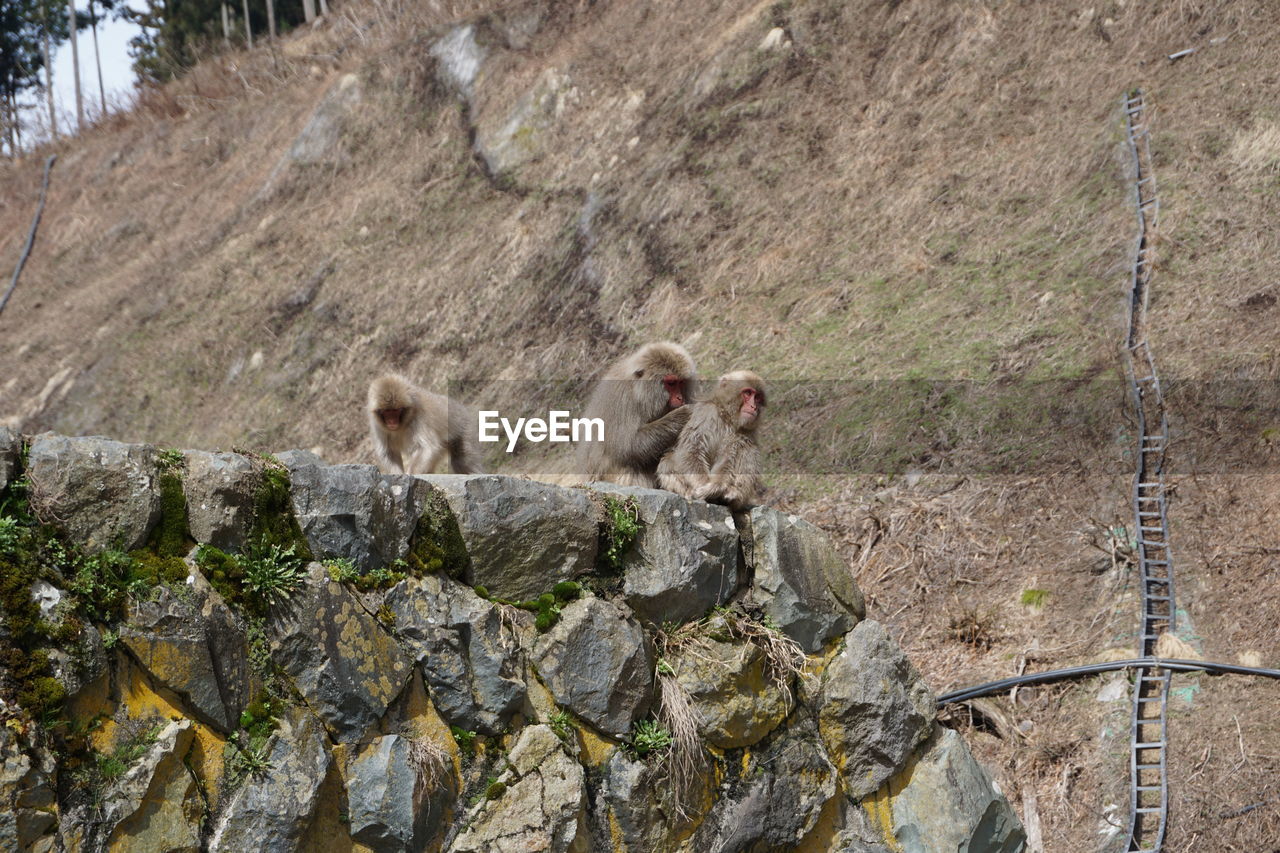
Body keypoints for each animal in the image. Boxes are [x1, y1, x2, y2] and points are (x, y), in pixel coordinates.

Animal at [578, 338, 701, 484]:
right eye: (671, 383)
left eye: (681, 382)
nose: (680, 398)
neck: (639, 392)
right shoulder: (623, 399)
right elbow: (628, 446)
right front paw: (681, 415)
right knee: (629, 466)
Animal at [655, 368, 762, 507]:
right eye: (748, 393)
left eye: (758, 397)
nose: (754, 407)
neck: (726, 416)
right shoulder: (706, 413)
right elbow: (692, 449)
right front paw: (705, 487)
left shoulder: (746, 430)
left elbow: (729, 455)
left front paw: (716, 487)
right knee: (667, 461)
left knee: (746, 446)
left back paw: (734, 496)